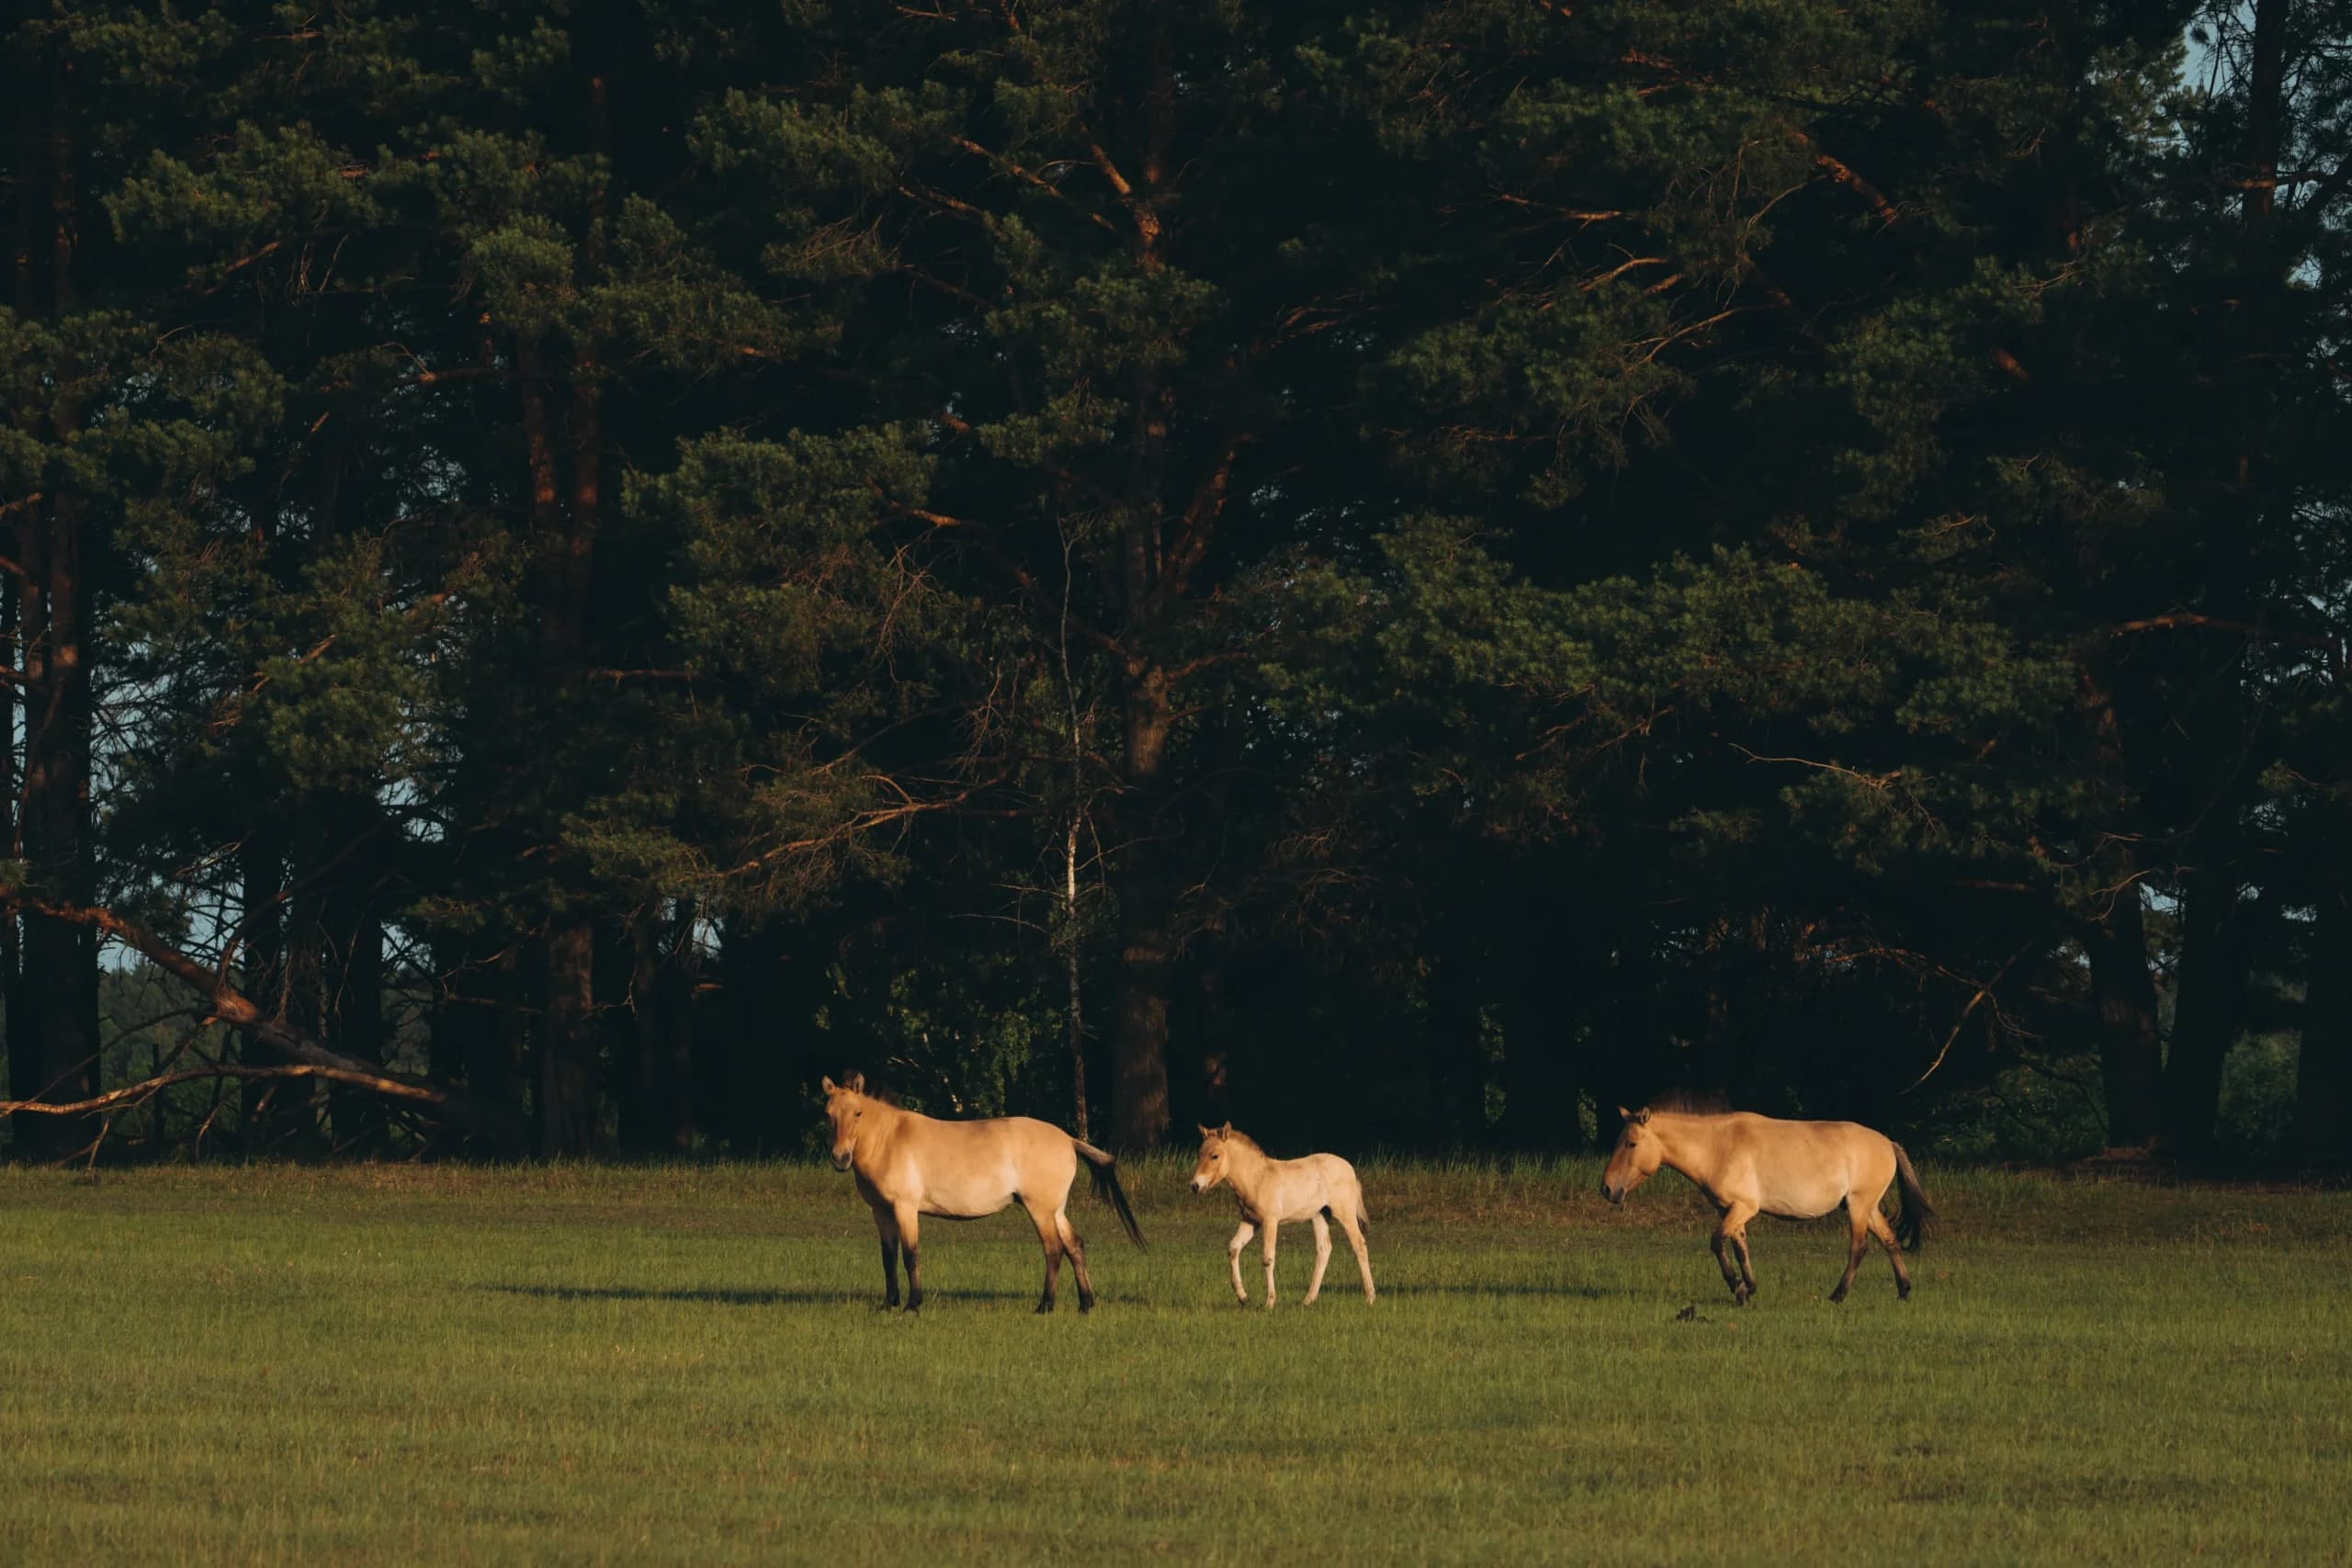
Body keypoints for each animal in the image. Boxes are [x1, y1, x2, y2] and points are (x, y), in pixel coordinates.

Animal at [820, 1074, 1144, 1313]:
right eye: (828, 1114)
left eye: (858, 1112)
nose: (840, 1158)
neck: (889, 1140)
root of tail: (1068, 1139)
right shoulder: (882, 1211)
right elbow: (888, 1257)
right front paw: (888, 1304)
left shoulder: (905, 1209)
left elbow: (910, 1255)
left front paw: (912, 1305)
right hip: (1056, 1210)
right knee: (1075, 1245)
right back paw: (1085, 1304)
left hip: (1040, 1210)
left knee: (1053, 1249)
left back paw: (1045, 1306)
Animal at [1189, 1124, 1375, 1307]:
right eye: (1200, 1154)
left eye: (1215, 1156)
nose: (1195, 1186)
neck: (1258, 1178)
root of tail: (1349, 1168)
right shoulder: (1251, 1220)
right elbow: (1233, 1248)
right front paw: (1243, 1297)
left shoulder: (1270, 1221)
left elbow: (1268, 1258)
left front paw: (1270, 1302)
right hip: (1319, 1215)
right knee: (1324, 1249)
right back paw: (1308, 1300)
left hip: (1345, 1214)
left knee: (1359, 1245)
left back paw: (1370, 1297)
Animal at [1599, 1104, 1933, 1306]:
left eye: (1631, 1144)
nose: (1607, 1189)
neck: (1717, 1148)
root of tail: (1888, 1143)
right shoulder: (1731, 1211)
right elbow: (1740, 1248)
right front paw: (1748, 1289)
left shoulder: (1743, 1207)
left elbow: (1716, 1242)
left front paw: (1736, 1285)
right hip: (1869, 1208)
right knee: (1890, 1241)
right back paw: (1904, 1291)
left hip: (1859, 1207)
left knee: (1859, 1247)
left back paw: (1838, 1295)